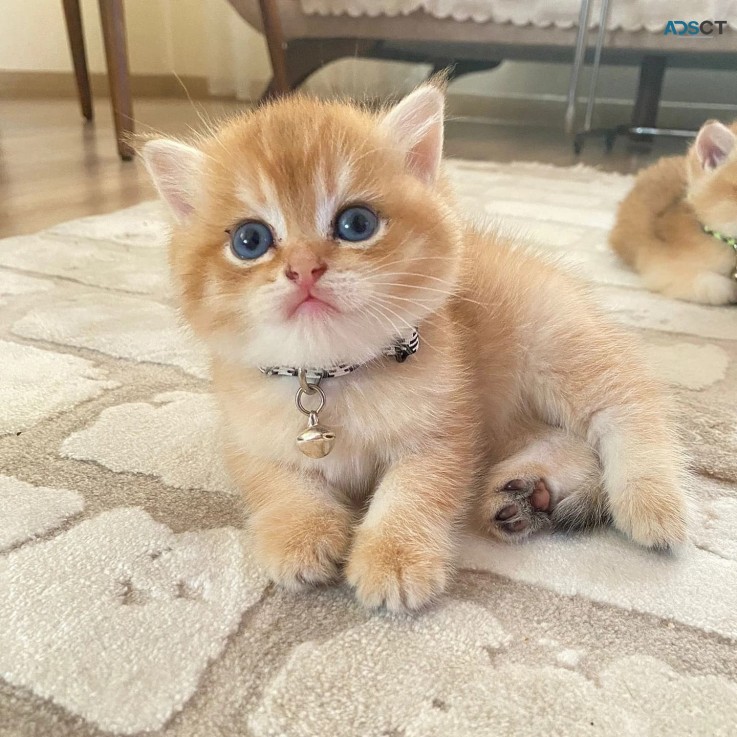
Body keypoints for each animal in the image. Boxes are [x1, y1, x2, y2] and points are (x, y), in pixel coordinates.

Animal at [142, 85, 684, 608]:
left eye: (356, 224)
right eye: (250, 240)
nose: (304, 269)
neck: (331, 377)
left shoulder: (443, 430)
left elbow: (413, 494)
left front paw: (394, 559)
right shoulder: (248, 437)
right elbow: (278, 484)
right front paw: (300, 535)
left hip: (557, 348)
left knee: (628, 407)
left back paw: (651, 501)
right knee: (564, 438)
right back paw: (527, 496)